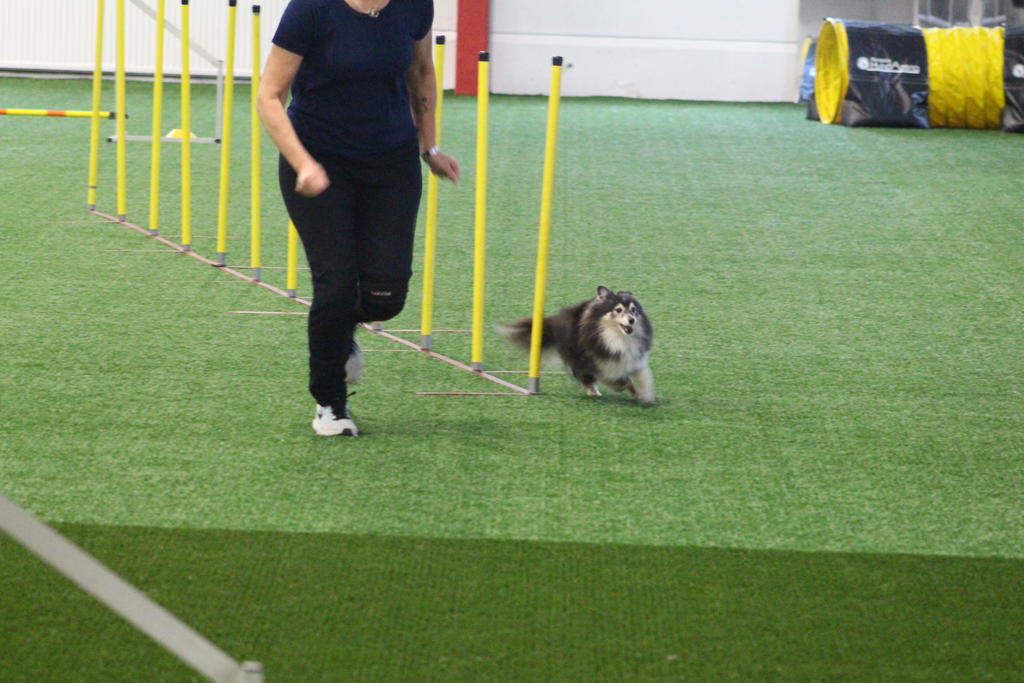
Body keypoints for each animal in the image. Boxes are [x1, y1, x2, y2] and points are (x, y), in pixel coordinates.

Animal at [501, 285, 655, 403]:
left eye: (634, 310)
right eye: (618, 310)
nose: (632, 320)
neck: (618, 337)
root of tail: (559, 318)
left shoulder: (634, 359)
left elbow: (643, 377)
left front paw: (644, 396)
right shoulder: (602, 364)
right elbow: (623, 381)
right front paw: (630, 389)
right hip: (577, 356)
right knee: (584, 376)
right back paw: (593, 391)